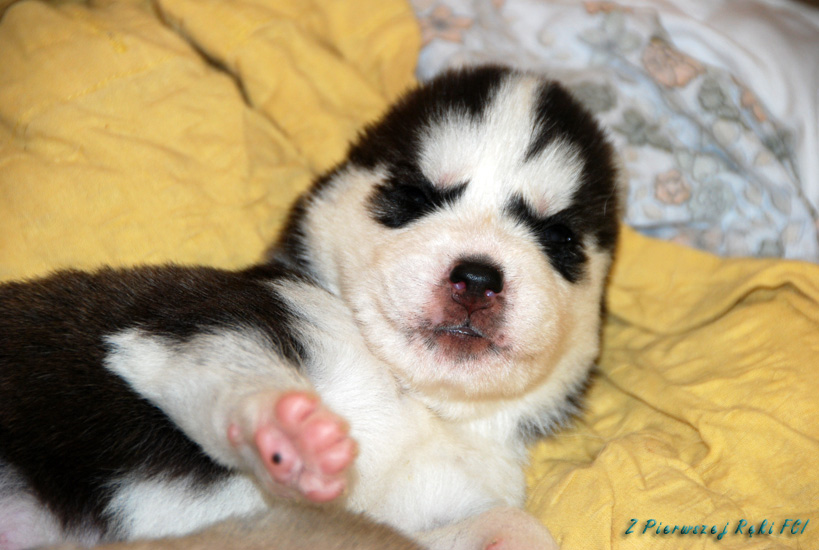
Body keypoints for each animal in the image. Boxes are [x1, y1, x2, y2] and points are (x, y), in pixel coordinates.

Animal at [0, 65, 621, 550]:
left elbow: (514, 525)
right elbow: (233, 370)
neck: (417, 400)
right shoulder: (189, 324)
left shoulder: (407, 514)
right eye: (415, 196)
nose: (476, 278)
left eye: (560, 237)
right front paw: (287, 433)